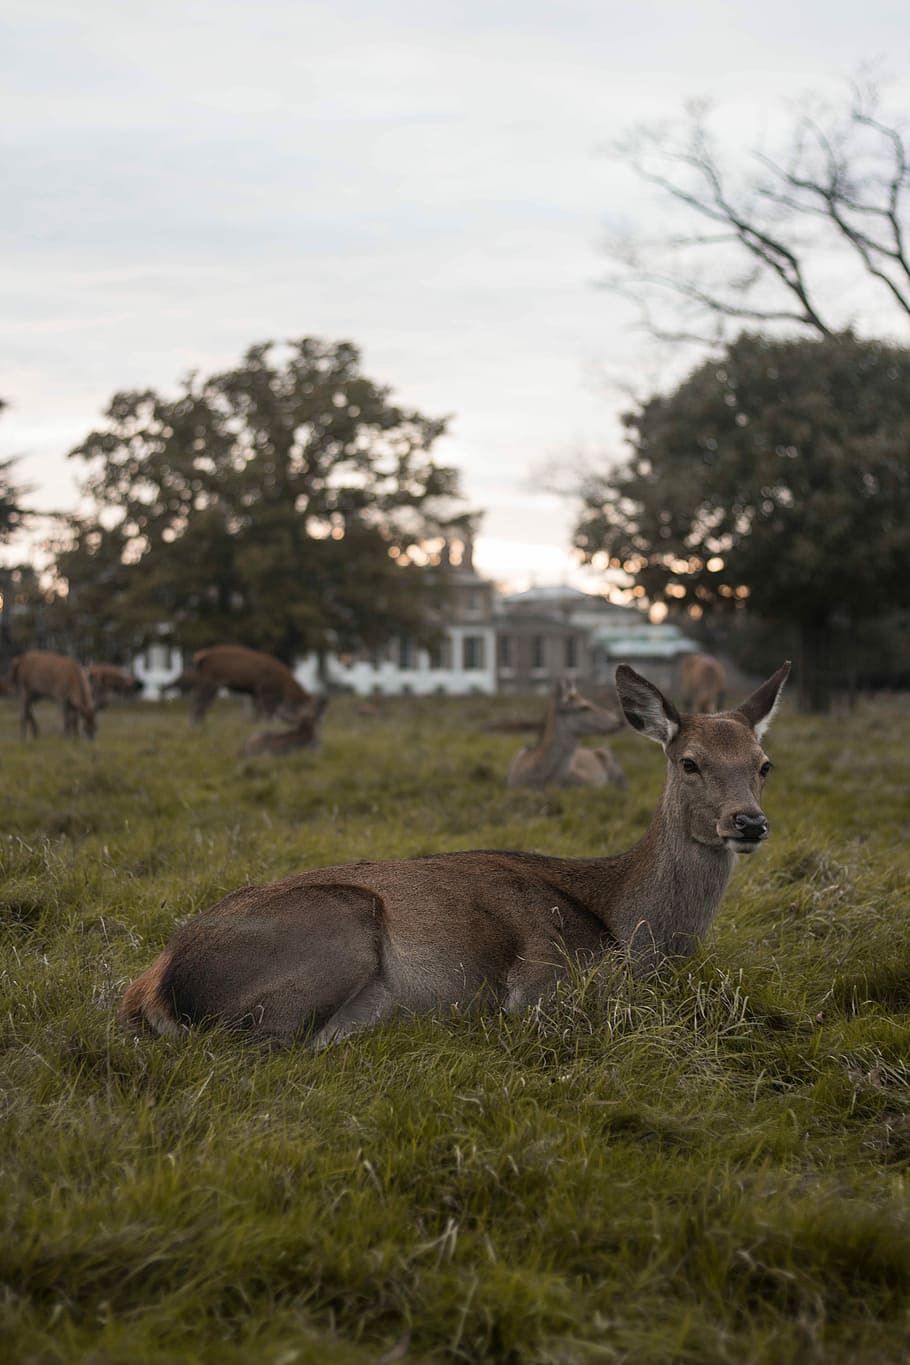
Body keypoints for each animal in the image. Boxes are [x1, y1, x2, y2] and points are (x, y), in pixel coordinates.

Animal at [120, 662, 789, 1047]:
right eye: (690, 762)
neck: (629, 932)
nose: (749, 822)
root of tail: (150, 985)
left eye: (764, 765)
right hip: (338, 926)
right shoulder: (545, 981)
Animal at [176, 645, 313, 726]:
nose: (300, 721)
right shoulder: (266, 691)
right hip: (211, 682)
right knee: (200, 702)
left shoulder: (255, 692)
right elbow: (267, 710)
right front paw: (266, 724)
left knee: (199, 701)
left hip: (206, 683)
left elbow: (258, 709)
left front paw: (255, 723)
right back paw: (198, 725)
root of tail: (200, 657)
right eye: (301, 706)